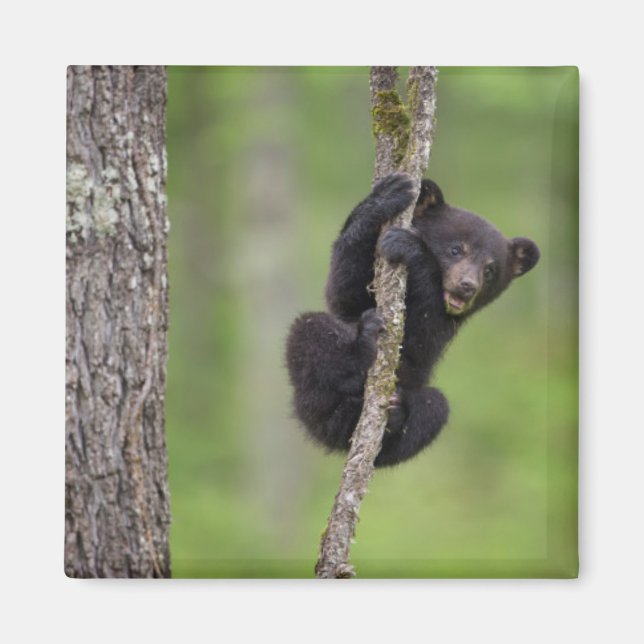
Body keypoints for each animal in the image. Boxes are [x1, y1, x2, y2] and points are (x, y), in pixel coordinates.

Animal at [285, 173, 540, 467]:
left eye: (490, 270)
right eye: (456, 250)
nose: (467, 286)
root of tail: (332, 434)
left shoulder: (443, 326)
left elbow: (420, 338)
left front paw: (410, 247)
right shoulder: (355, 296)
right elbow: (344, 291)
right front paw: (386, 196)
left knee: (435, 409)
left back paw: (395, 416)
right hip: (312, 399)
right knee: (311, 329)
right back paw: (360, 351)